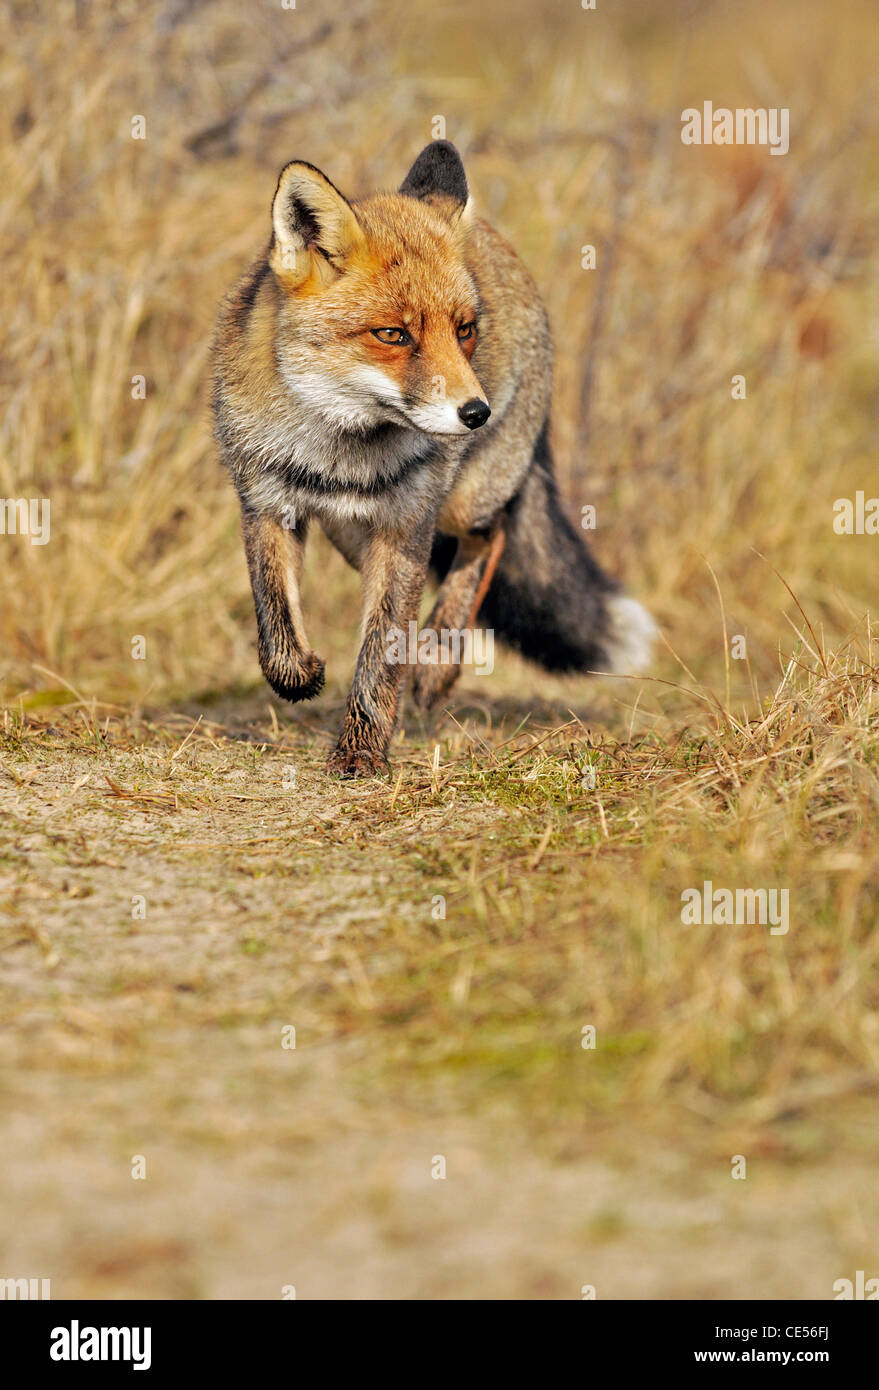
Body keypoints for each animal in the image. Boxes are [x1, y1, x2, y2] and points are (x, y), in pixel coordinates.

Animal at [212, 145, 653, 778]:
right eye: (393, 334)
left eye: (463, 330)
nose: (477, 413)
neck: (336, 452)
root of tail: (495, 238)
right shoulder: (268, 505)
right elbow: (275, 629)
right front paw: (304, 677)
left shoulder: (405, 525)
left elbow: (382, 652)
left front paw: (362, 752)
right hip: (353, 537)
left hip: (458, 506)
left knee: (492, 536)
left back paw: (440, 661)